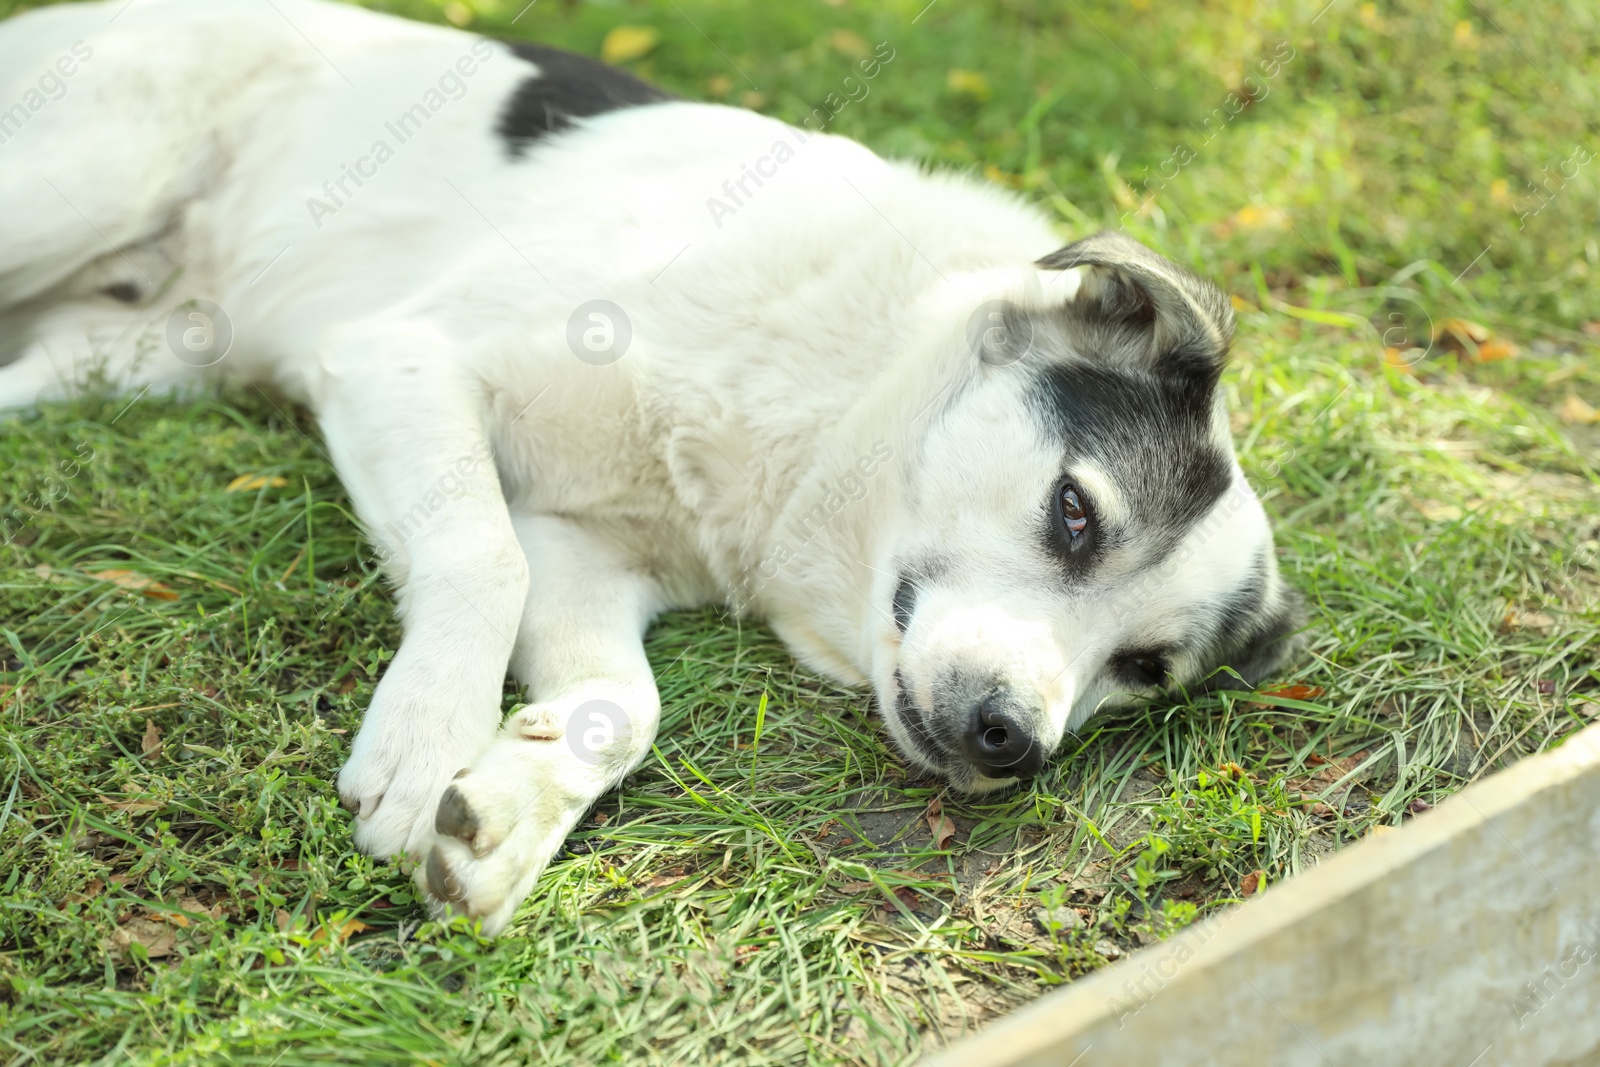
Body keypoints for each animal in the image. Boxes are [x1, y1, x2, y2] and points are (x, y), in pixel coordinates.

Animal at [0, 0, 1299, 934]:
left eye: (1141, 669)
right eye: (1075, 513)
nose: (1011, 745)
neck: (835, 396)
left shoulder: (576, 544)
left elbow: (622, 704)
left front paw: (511, 809)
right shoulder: (401, 359)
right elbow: (479, 557)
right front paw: (428, 738)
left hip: (137, 357)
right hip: (81, 186)